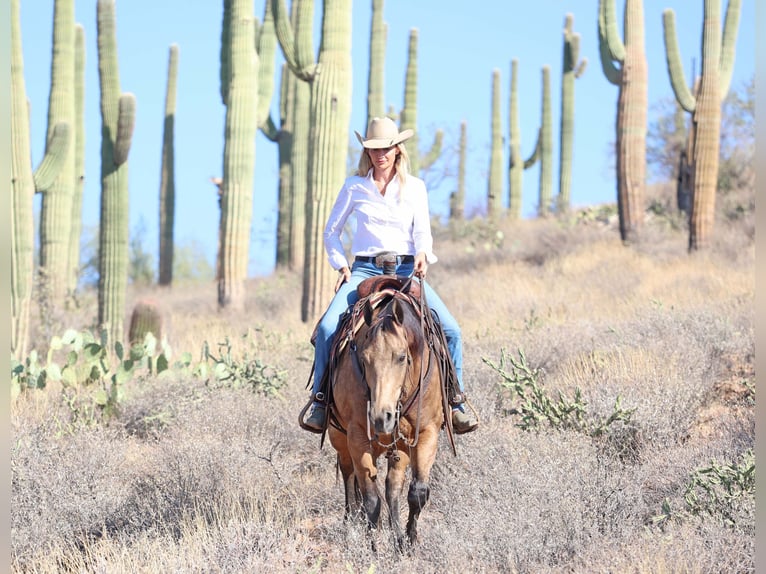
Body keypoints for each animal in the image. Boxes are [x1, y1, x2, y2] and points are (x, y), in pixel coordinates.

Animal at [308, 276, 460, 552]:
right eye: (364, 357)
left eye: (401, 357)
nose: (381, 417)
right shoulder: (357, 436)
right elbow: (370, 498)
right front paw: (374, 546)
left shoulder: (426, 432)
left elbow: (416, 492)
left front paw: (407, 541)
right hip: (339, 437)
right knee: (349, 477)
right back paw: (351, 528)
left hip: (397, 446)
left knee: (391, 487)